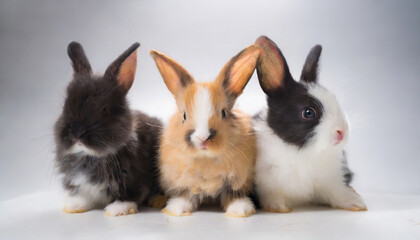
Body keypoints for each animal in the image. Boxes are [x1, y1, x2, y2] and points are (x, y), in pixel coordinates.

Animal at [151, 45, 260, 218]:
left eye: (224, 112)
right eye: (184, 115)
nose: (203, 138)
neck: (206, 159)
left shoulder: (236, 180)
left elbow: (233, 195)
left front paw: (240, 210)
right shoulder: (184, 181)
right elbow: (185, 195)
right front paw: (177, 210)